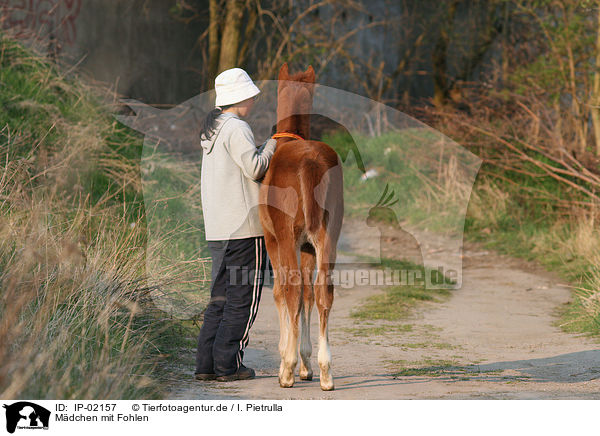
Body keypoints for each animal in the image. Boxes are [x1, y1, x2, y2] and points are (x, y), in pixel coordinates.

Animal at [258, 63, 342, 390]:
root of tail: (310, 161)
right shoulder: (308, 247)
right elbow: (308, 295)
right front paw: (307, 363)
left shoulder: (273, 240)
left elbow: (282, 293)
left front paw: (290, 358)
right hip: (328, 239)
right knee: (323, 293)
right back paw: (326, 371)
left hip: (285, 239)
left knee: (291, 289)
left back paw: (287, 370)